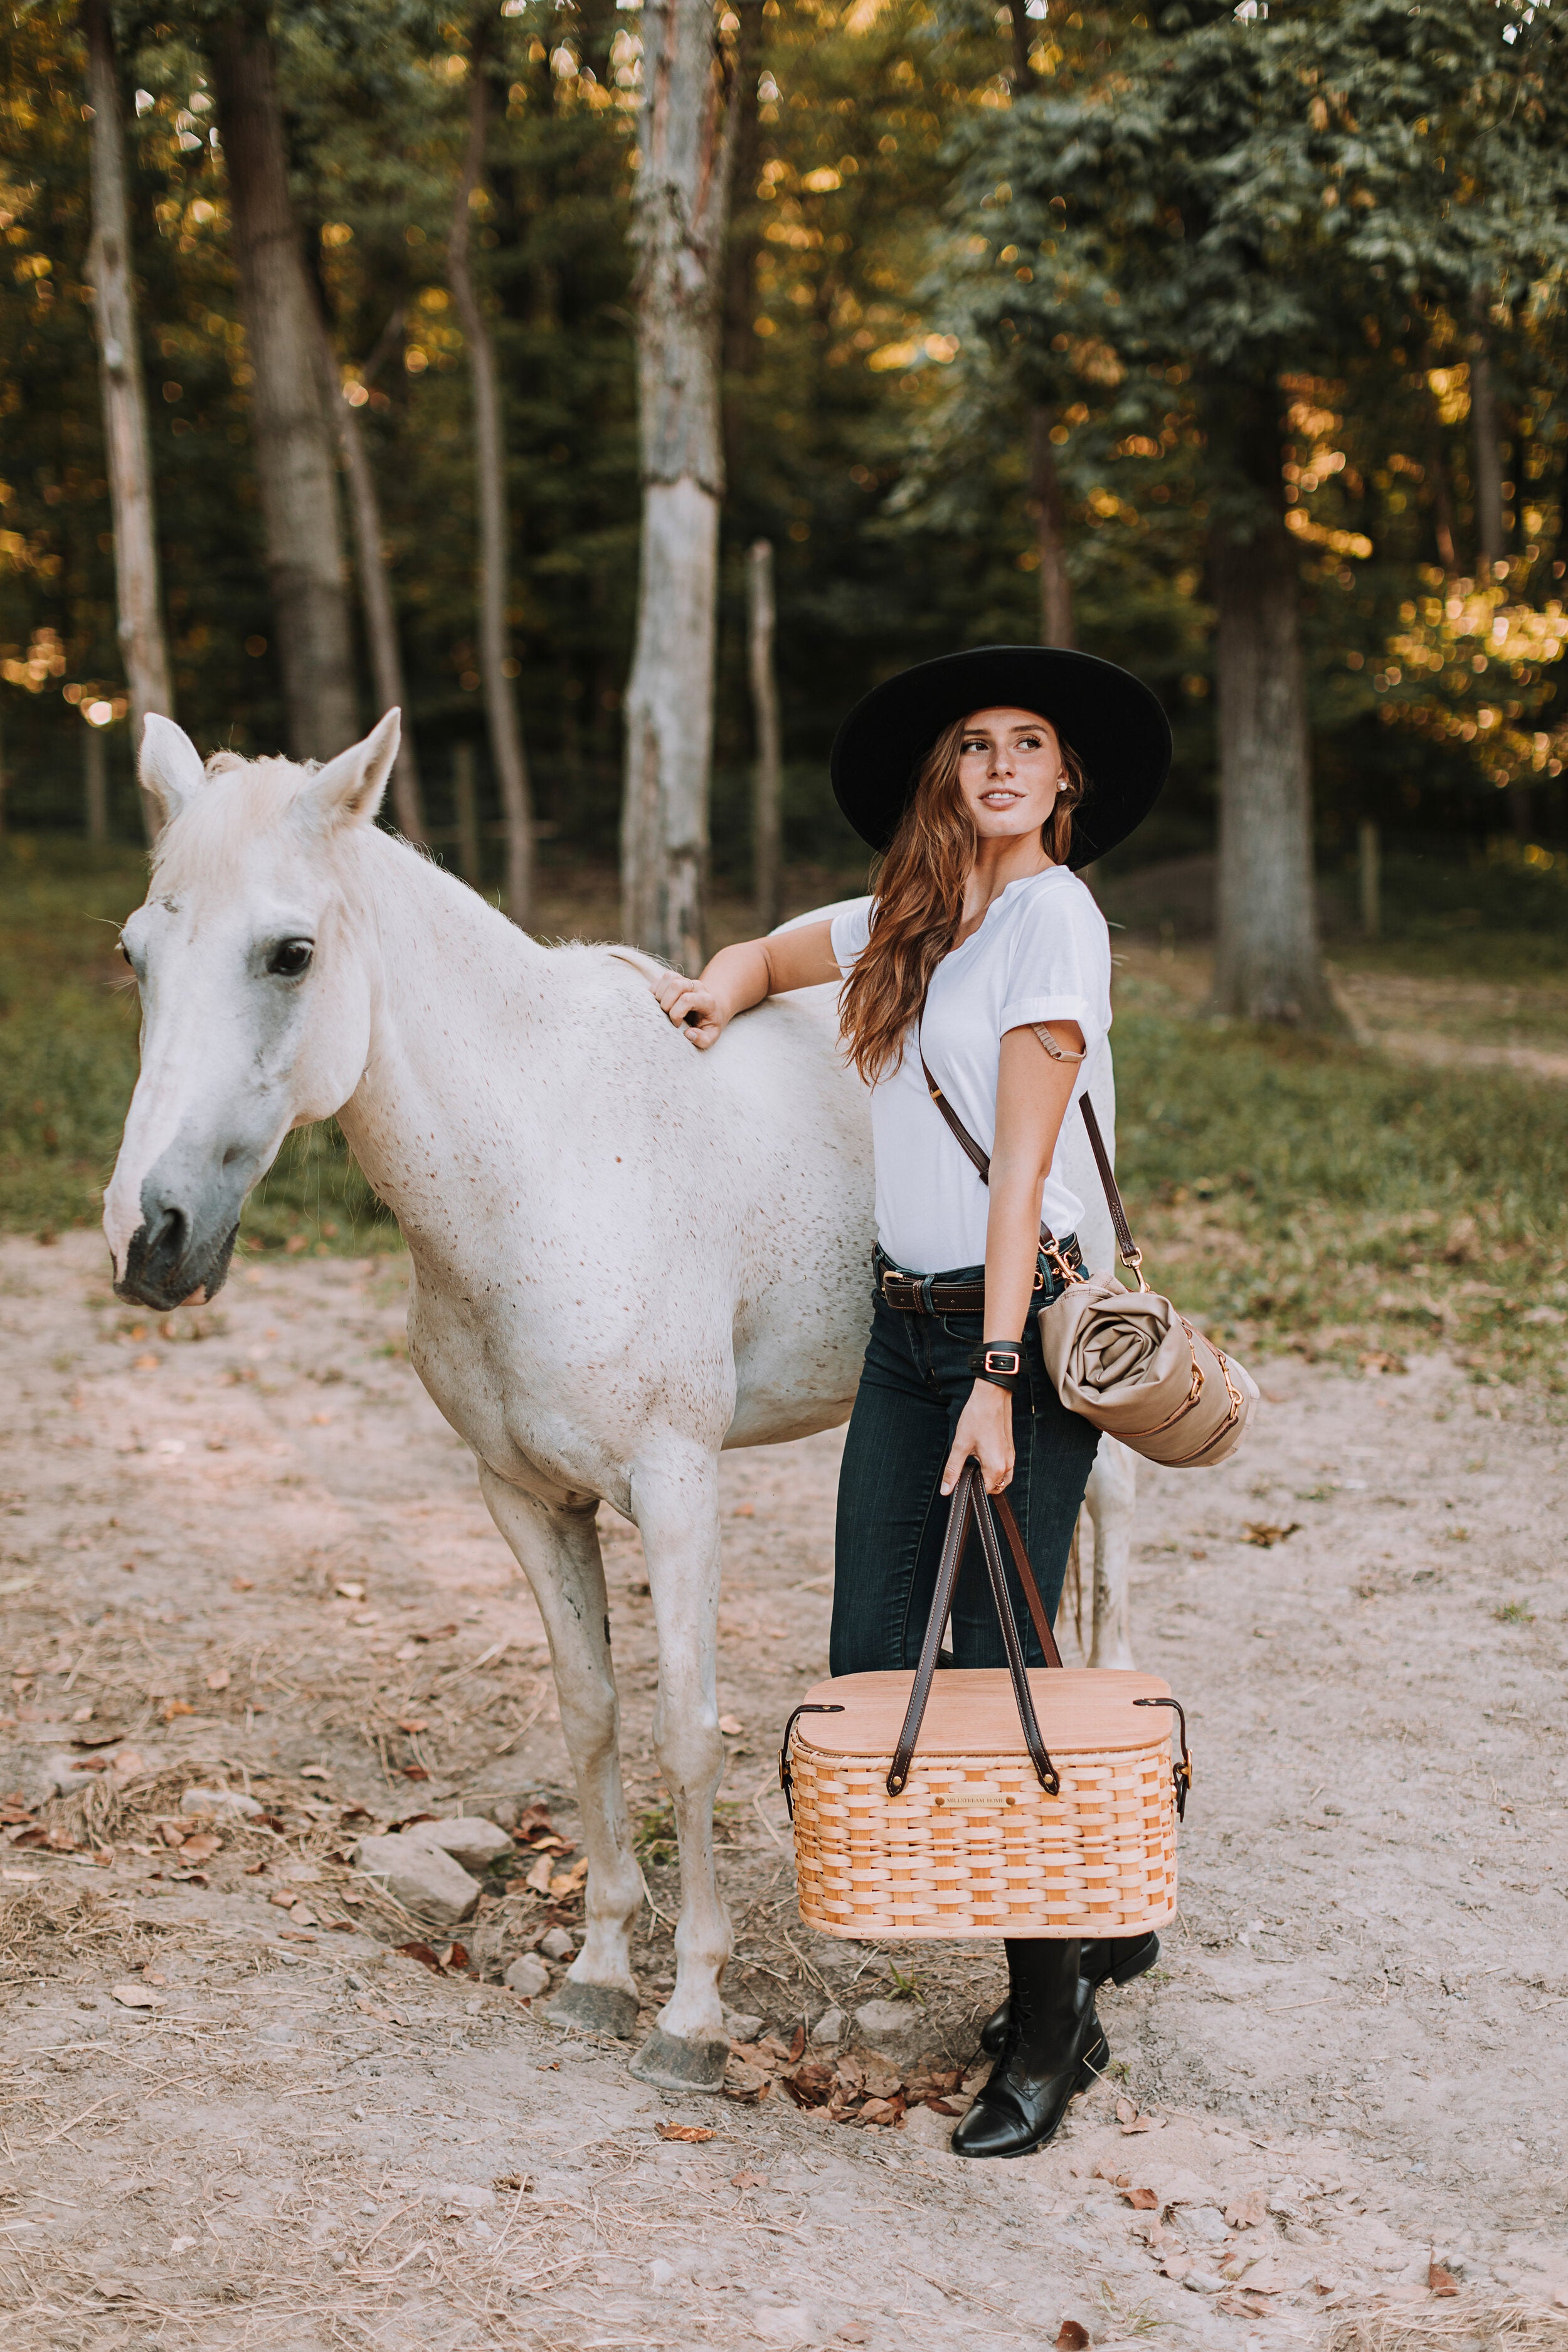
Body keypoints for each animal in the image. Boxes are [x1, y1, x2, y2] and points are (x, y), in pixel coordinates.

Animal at [107, 710, 1142, 2098]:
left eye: (291, 954)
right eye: (137, 955)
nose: (148, 1239)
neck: (541, 1157)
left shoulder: (676, 1483)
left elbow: (685, 1729)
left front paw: (693, 2014)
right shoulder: (524, 1497)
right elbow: (591, 1715)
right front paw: (601, 1970)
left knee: (1115, 1563)